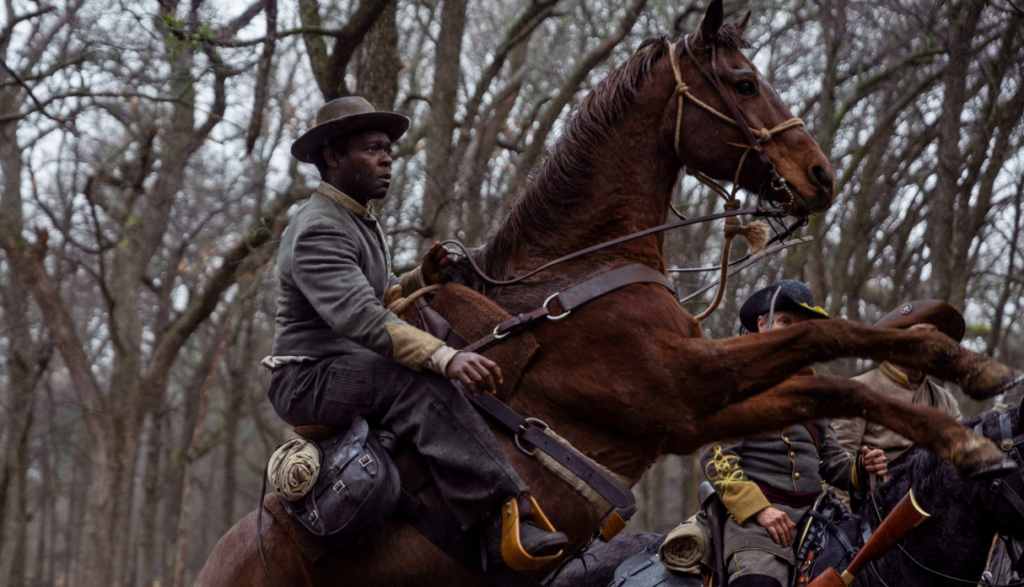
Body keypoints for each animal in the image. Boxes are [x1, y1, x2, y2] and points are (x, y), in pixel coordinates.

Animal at [195, 2, 1019, 581]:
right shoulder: (680, 389)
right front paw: (970, 431)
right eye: (744, 81)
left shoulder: (693, 411)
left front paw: (964, 366)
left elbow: (828, 371)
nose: (818, 173)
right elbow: (823, 345)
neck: (574, 280)